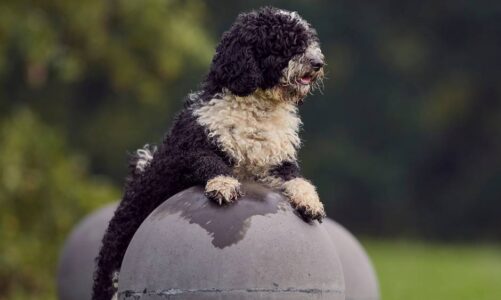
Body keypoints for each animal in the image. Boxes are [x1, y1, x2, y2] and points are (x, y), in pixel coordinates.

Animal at [93, 7, 328, 300]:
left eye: (307, 40)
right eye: (284, 44)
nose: (318, 62)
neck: (258, 111)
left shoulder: (276, 163)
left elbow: (298, 179)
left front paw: (310, 201)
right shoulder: (190, 150)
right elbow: (211, 162)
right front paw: (224, 185)